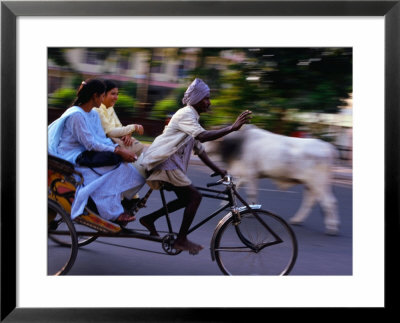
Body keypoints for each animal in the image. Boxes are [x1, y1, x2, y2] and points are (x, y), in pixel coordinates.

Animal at [205, 126, 340, 235]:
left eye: (210, 140)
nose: (202, 148)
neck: (240, 142)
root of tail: (328, 147)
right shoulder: (247, 175)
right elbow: (237, 186)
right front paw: (225, 203)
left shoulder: (251, 174)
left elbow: (251, 193)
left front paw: (250, 211)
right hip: (311, 184)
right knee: (310, 201)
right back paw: (297, 220)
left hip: (318, 182)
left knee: (329, 201)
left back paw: (332, 228)